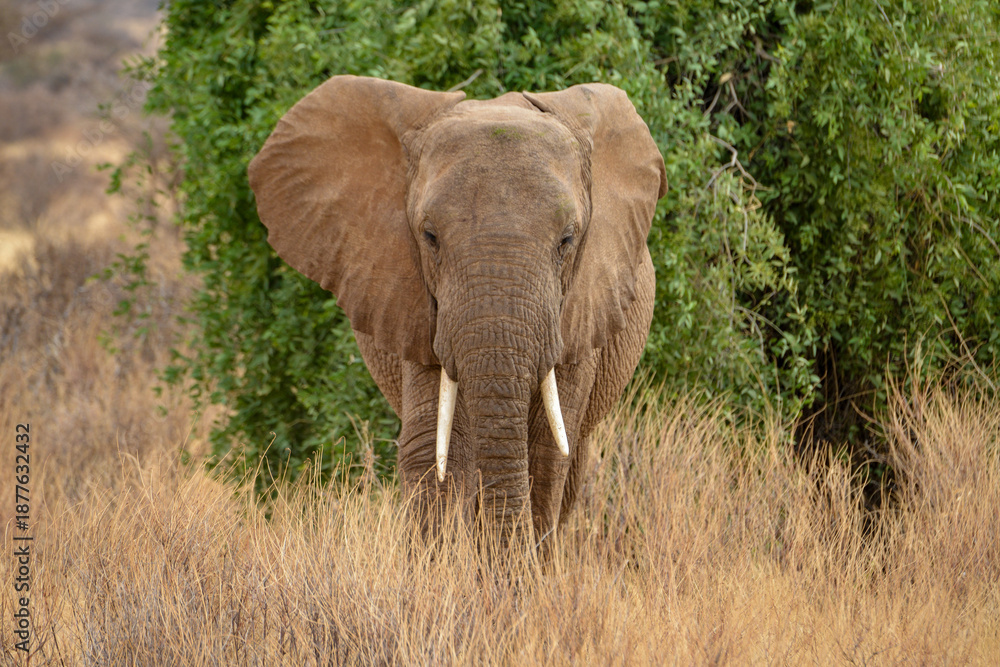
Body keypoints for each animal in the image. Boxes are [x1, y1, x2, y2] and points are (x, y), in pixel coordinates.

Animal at [248, 75, 666, 544]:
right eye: (430, 237)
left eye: (567, 240)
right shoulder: (414, 304)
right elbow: (437, 446)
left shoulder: (581, 310)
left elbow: (545, 451)